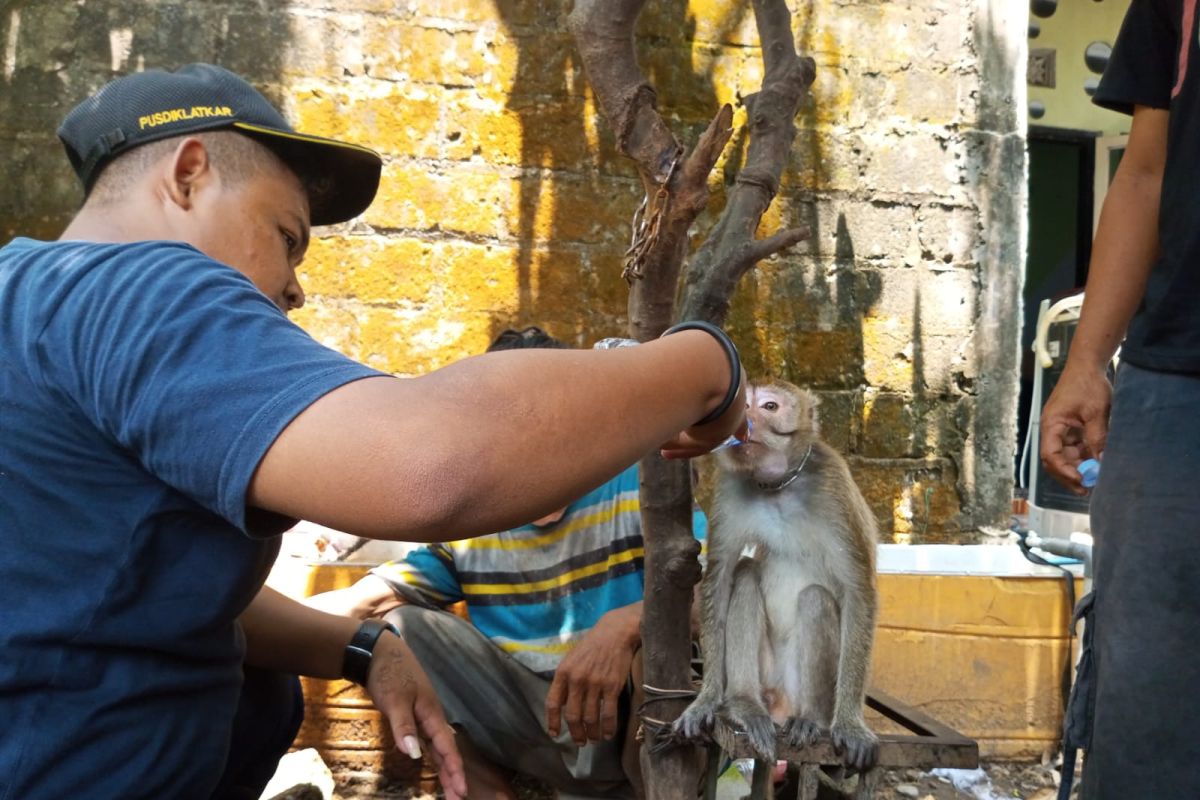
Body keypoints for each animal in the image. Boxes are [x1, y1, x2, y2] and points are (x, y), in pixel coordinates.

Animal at [676, 379, 883, 772]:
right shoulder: (729, 488)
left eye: (770, 406)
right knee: (744, 574)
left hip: (802, 687)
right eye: (745, 403)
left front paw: (851, 724)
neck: (779, 486)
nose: (744, 419)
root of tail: (781, 704)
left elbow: (858, 590)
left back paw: (811, 719)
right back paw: (745, 705)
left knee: (815, 598)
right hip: (766, 676)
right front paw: (706, 699)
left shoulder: (833, 487)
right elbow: (720, 578)